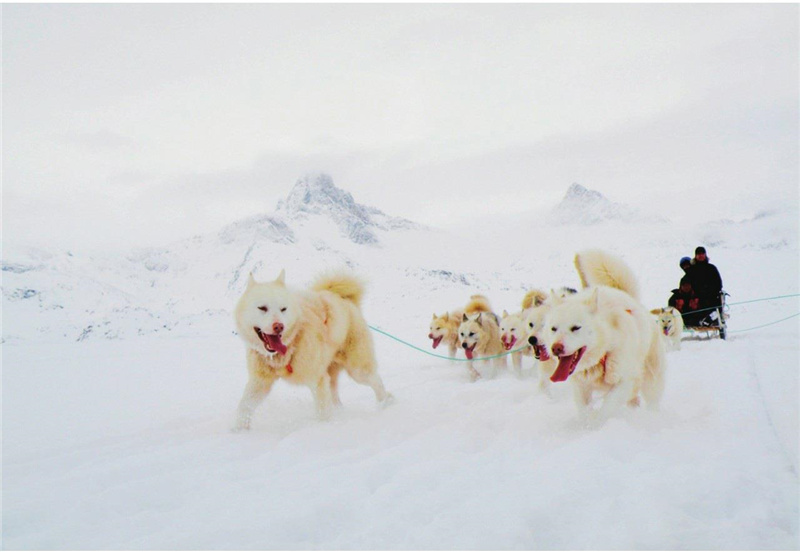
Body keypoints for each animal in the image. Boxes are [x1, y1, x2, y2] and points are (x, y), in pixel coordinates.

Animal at [233, 270, 392, 430]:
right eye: (262, 308)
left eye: (283, 309)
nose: (279, 326)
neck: (290, 347)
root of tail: (345, 301)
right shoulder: (260, 382)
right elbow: (244, 406)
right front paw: (239, 430)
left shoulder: (317, 380)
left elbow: (322, 411)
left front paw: (321, 428)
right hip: (331, 374)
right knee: (334, 396)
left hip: (358, 370)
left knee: (376, 382)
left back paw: (385, 404)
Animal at [540, 251, 664, 426]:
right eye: (553, 328)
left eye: (576, 327)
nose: (556, 347)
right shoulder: (581, 386)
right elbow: (584, 410)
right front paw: (586, 424)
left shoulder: (624, 382)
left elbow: (606, 409)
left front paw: (595, 425)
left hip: (651, 378)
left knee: (652, 400)